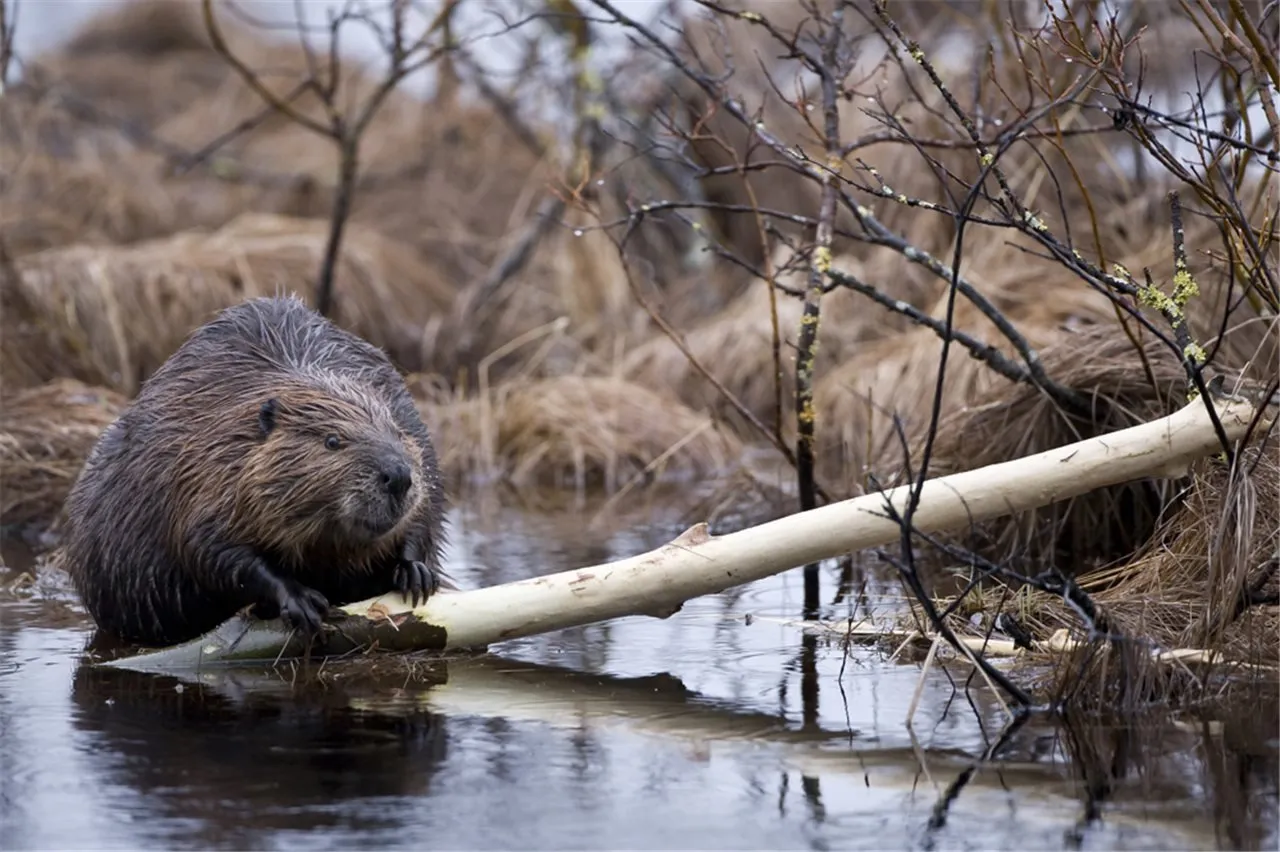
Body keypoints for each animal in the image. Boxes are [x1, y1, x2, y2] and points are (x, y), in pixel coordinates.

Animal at [61, 291, 450, 644]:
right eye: (332, 441)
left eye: (397, 432)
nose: (398, 476)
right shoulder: (203, 471)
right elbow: (210, 548)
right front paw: (301, 600)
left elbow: (426, 511)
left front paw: (415, 571)